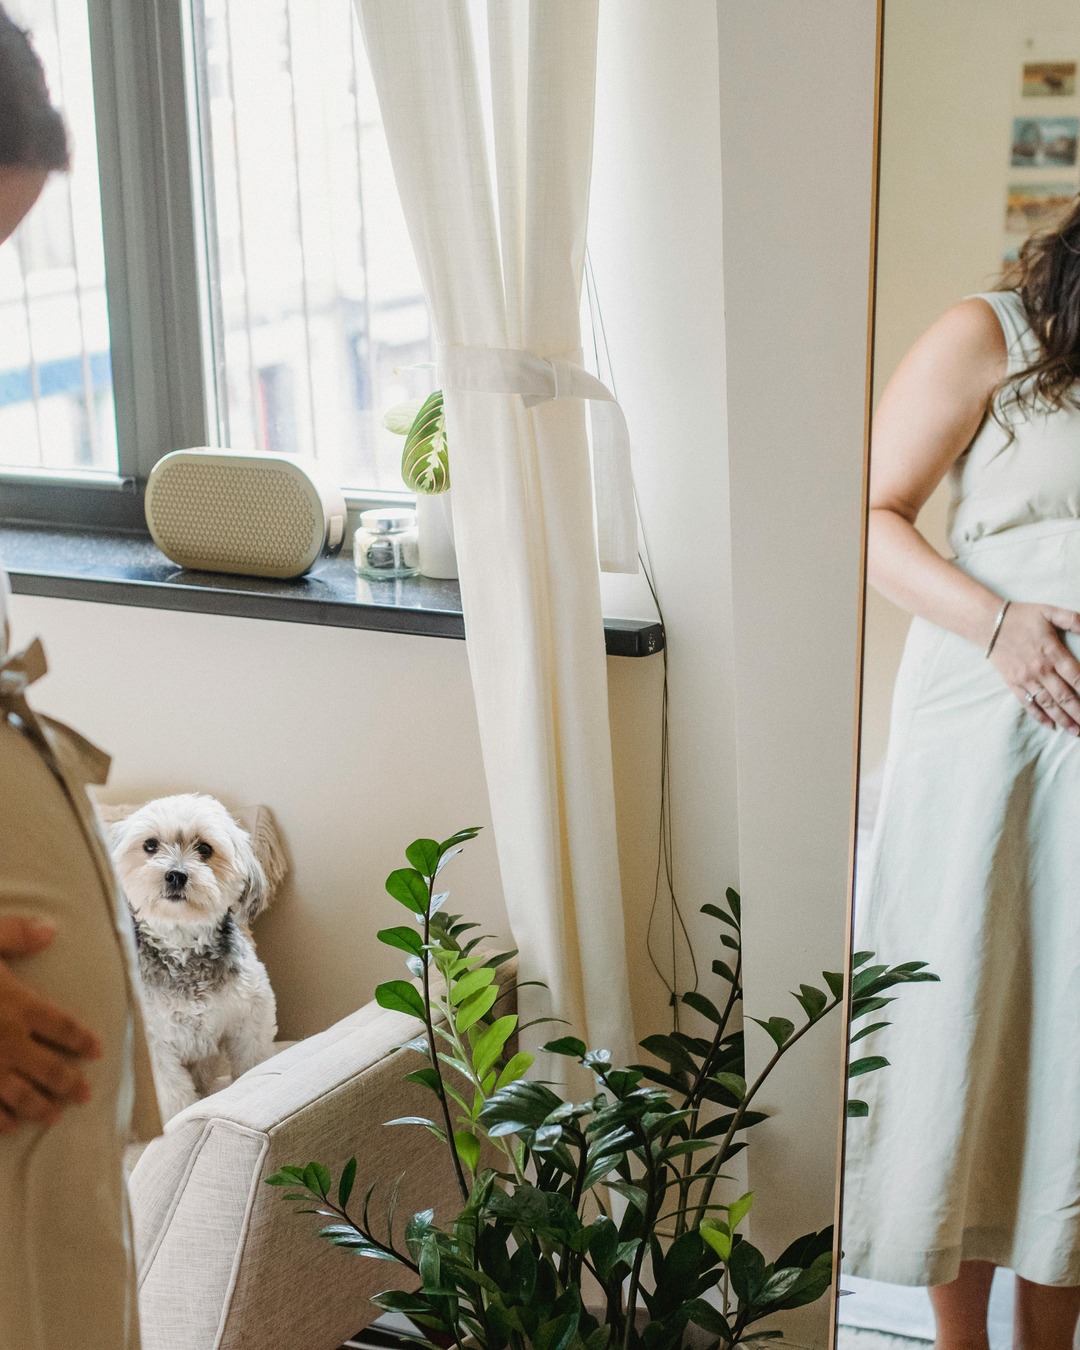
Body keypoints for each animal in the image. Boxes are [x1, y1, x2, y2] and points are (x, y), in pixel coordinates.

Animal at [111, 793, 278, 1121]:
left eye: (205, 849)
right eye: (150, 845)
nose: (176, 875)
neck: (183, 947)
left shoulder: (251, 1020)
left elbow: (253, 1066)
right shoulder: (156, 1050)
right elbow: (176, 1101)